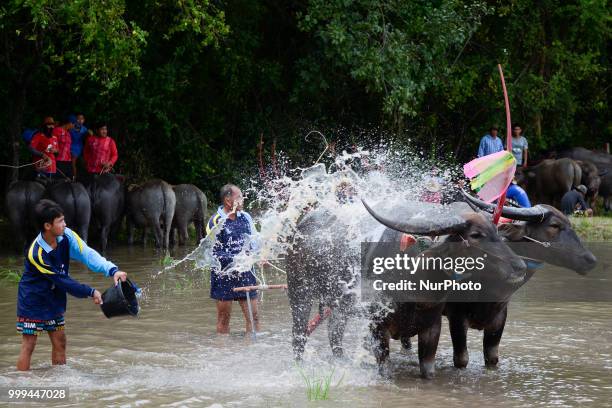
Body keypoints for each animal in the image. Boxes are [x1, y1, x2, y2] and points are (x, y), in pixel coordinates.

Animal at [444, 193, 596, 368]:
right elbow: (461, 359)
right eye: (554, 225)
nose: (591, 260)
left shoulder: (499, 319)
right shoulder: (457, 317)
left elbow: (492, 358)